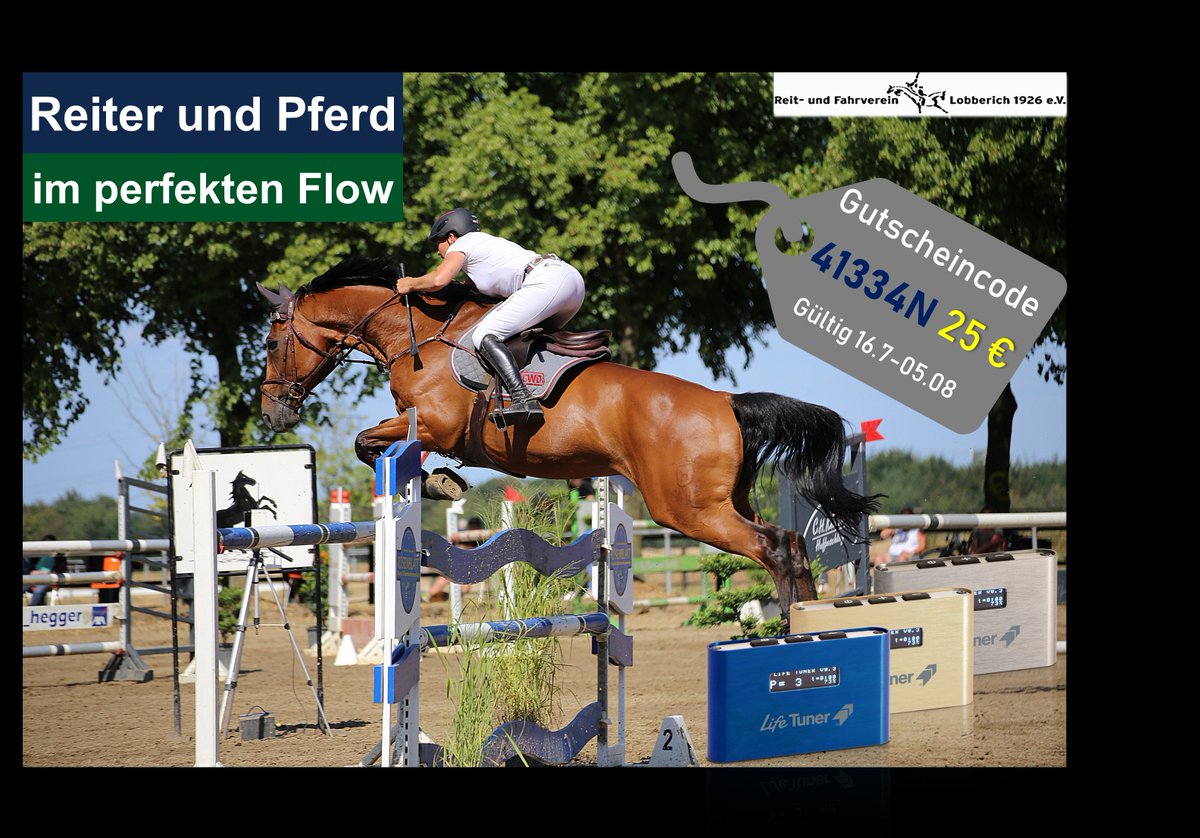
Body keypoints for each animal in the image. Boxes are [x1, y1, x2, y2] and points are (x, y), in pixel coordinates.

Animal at [256, 256, 879, 619]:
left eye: (269, 343)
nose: (272, 414)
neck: (421, 337)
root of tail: (727, 402)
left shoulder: (436, 425)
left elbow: (367, 442)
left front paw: (440, 483)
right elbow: (378, 445)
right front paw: (442, 481)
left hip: (688, 509)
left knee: (772, 547)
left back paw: (791, 631)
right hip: (725, 500)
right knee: (791, 544)